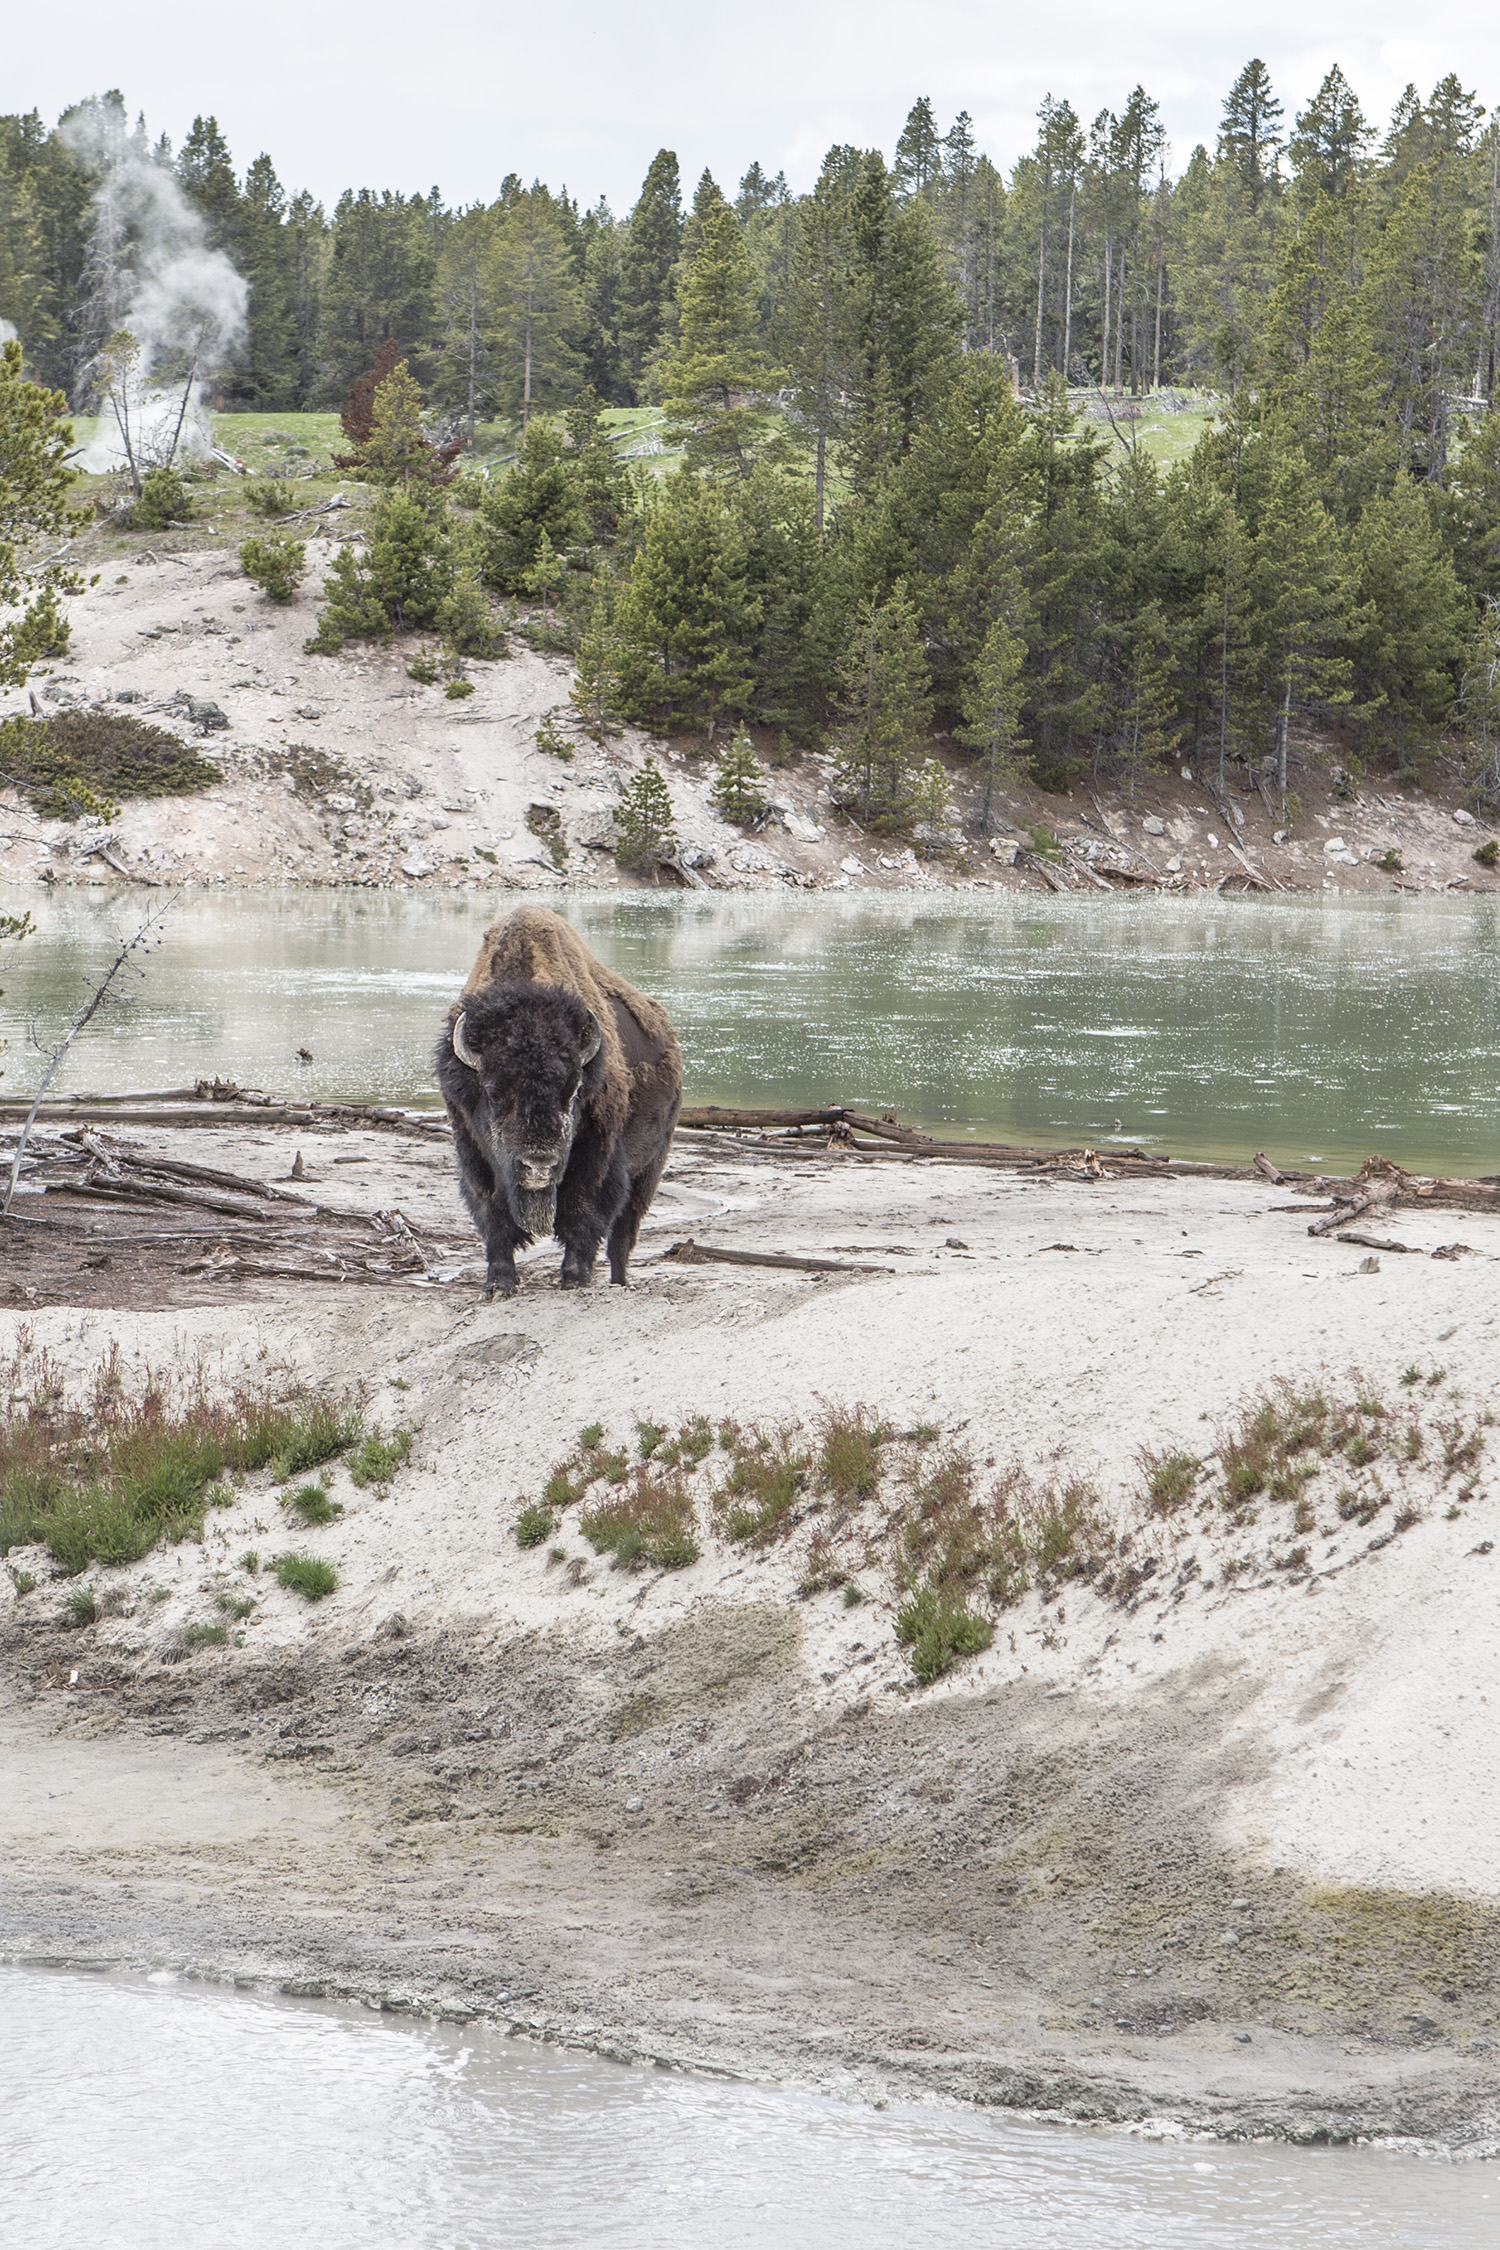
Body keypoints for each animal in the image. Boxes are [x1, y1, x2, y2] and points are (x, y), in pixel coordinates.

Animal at [436, 904, 683, 1305]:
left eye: (574, 1089)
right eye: (492, 1091)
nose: (539, 1165)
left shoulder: (596, 1156)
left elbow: (582, 1211)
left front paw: (574, 1278)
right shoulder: (473, 1152)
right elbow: (492, 1214)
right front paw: (498, 1284)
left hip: (650, 1167)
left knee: (623, 1234)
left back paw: (619, 1282)